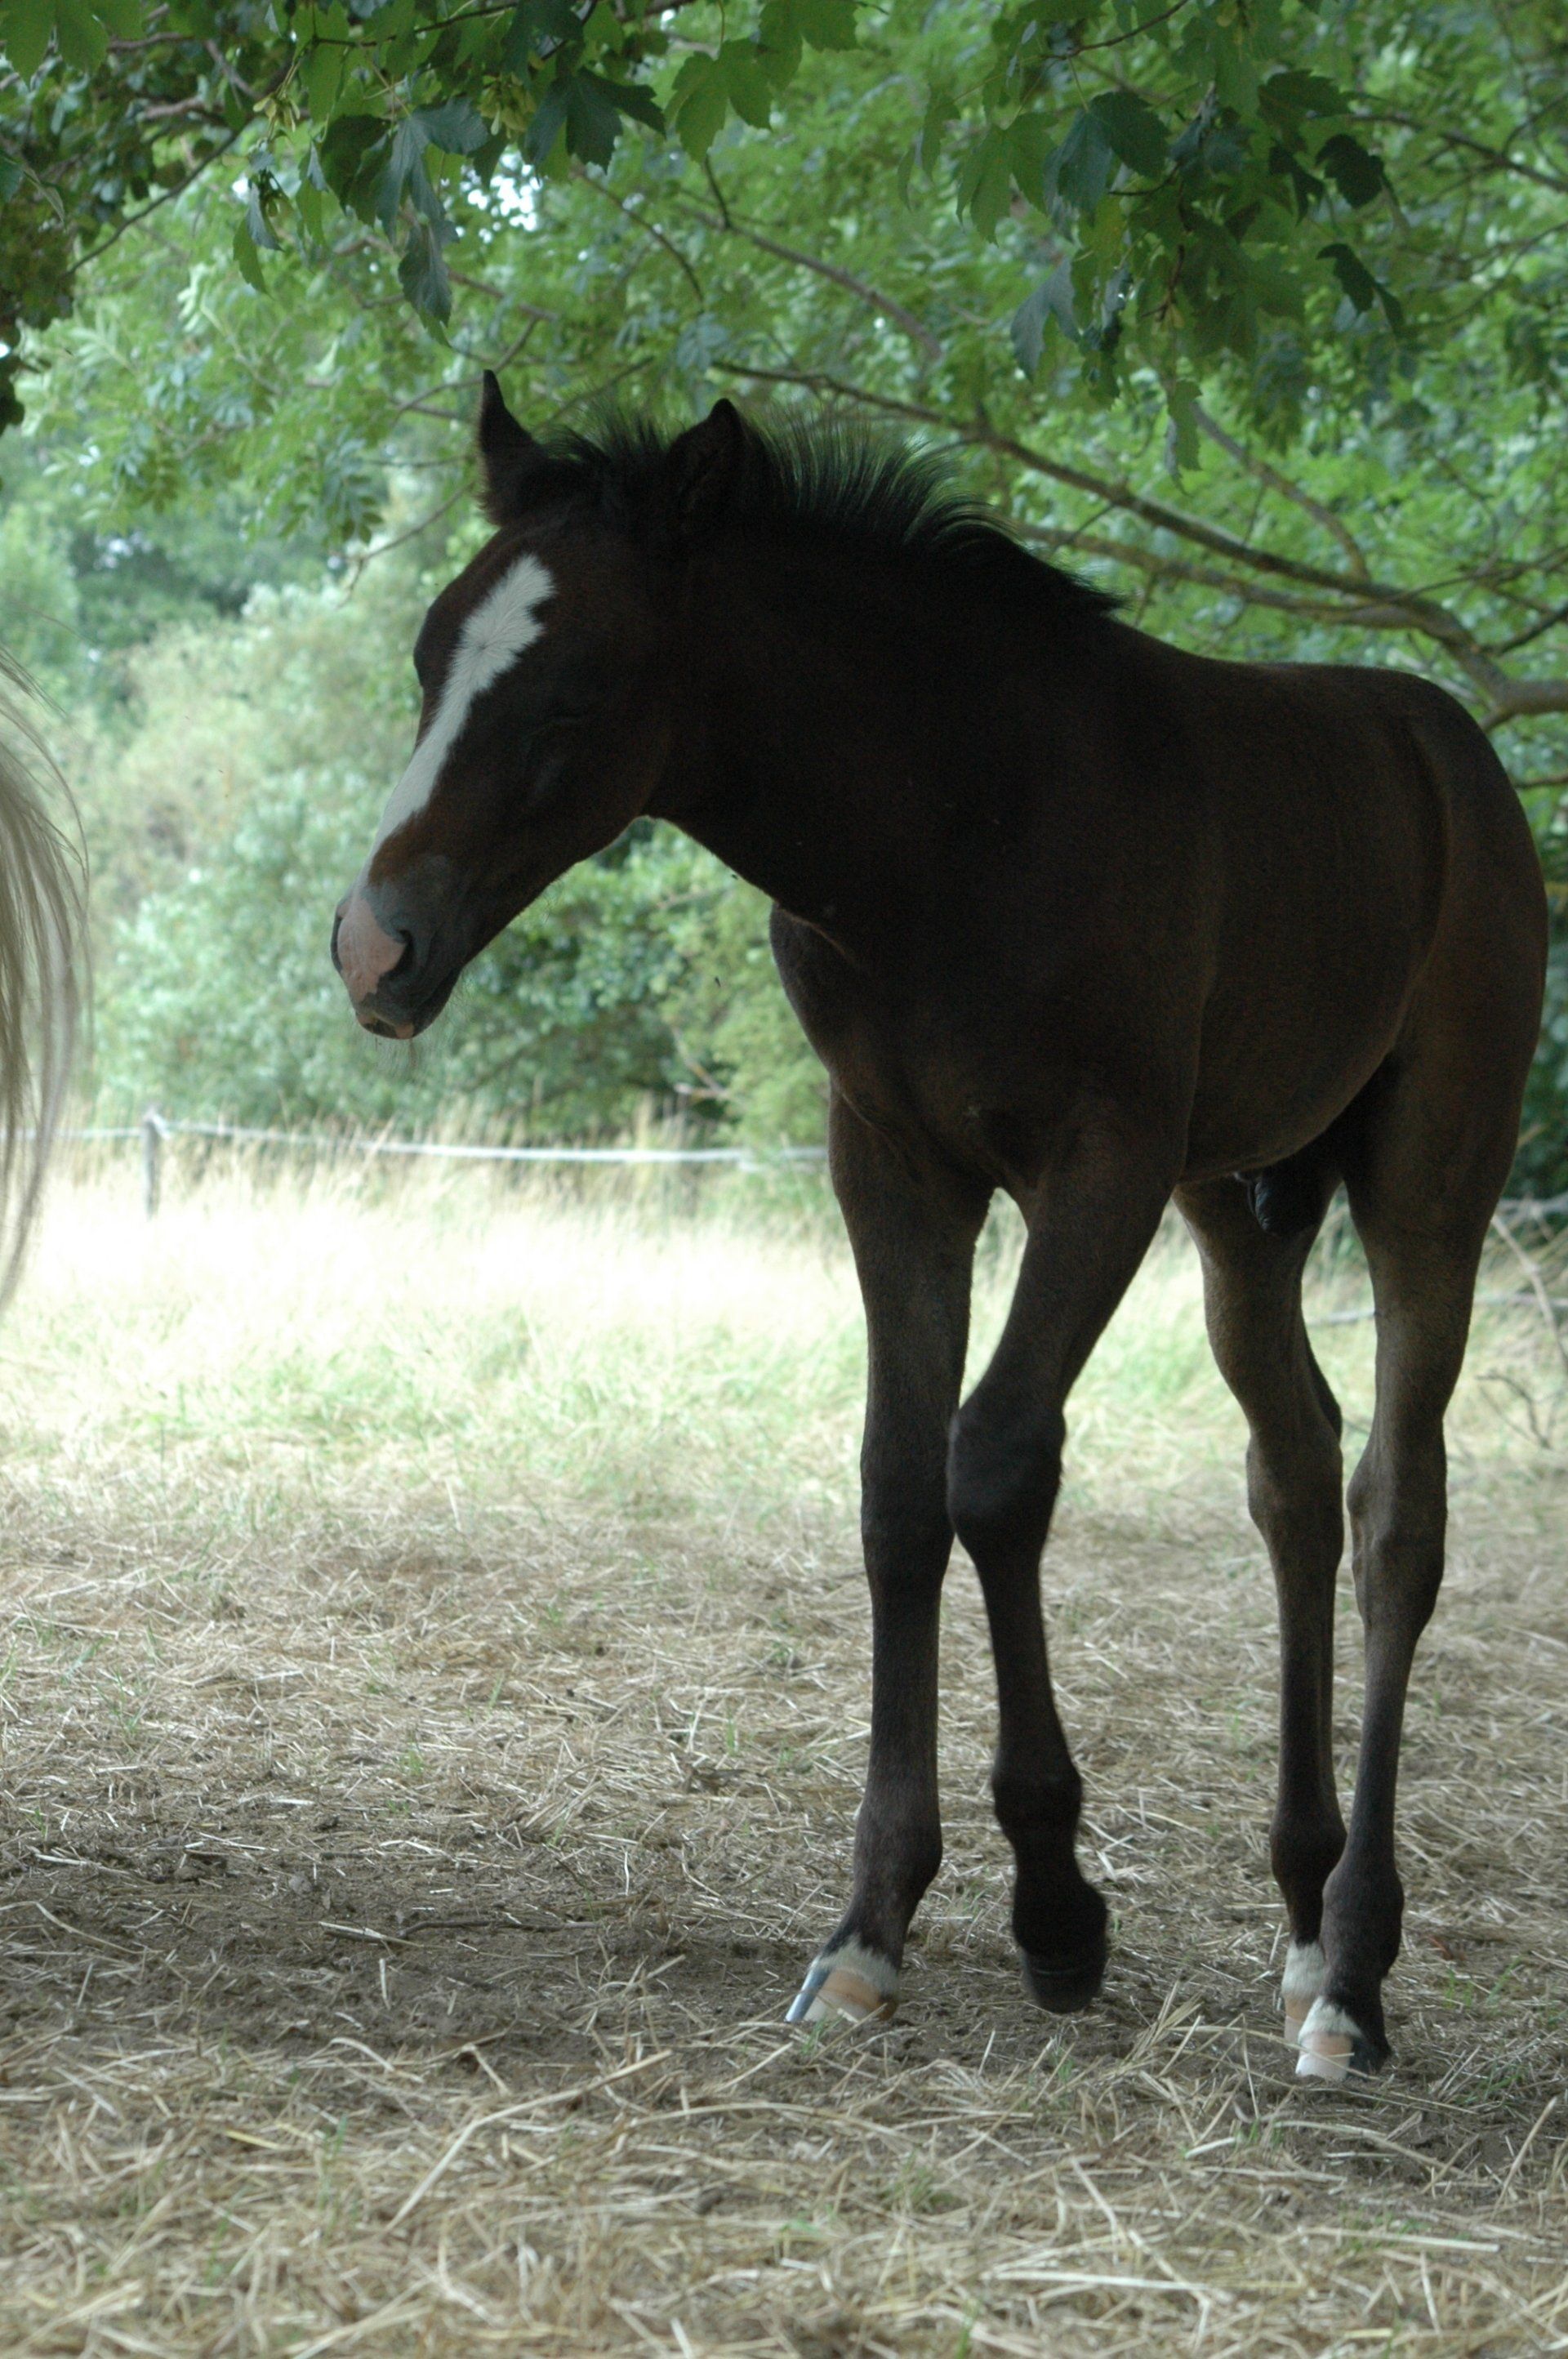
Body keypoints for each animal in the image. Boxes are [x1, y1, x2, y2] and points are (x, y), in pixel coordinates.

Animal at [333, 379, 1546, 2083]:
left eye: (574, 693)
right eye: (430, 657)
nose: (374, 947)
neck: (953, 820)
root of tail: (1456, 756)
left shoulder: (1097, 1169)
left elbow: (998, 1463)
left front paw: (1057, 1906)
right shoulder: (895, 1165)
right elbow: (899, 1486)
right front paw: (868, 1929)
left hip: (1431, 1177)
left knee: (1395, 1512)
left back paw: (1357, 1978)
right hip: (1238, 1207)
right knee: (1295, 1474)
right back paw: (1305, 1925)